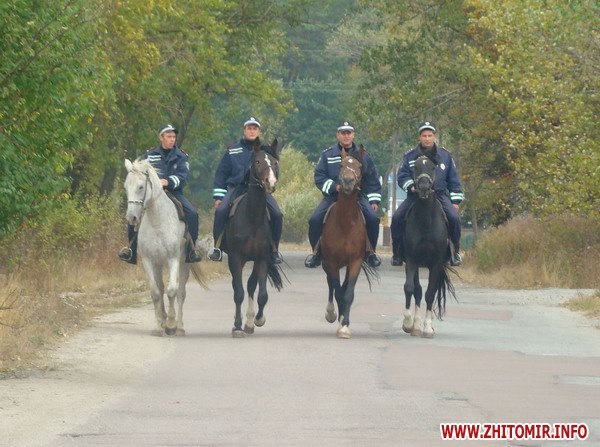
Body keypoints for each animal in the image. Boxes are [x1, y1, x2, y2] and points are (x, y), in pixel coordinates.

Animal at [123, 158, 206, 336]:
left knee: (181, 293)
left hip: (184, 264)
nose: (132, 217)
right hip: (158, 264)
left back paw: (179, 327)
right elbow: (155, 292)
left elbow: (172, 291)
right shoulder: (148, 261)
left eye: (141, 187)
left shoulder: (172, 259)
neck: (157, 221)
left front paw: (171, 325)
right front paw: (158, 325)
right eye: (126, 187)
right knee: (161, 289)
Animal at [223, 139, 283, 338]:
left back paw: (249, 322)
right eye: (257, 161)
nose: (270, 183)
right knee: (239, 288)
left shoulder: (262, 258)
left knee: (250, 285)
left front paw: (258, 319)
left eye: (275, 162)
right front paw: (237, 326)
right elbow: (238, 293)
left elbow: (262, 294)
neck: (252, 218)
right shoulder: (236, 258)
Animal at [320, 146, 377, 339]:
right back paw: (331, 313)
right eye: (341, 164)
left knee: (343, 286)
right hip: (327, 264)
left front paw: (345, 325)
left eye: (359, 166)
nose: (347, 181)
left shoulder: (356, 261)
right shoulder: (331, 261)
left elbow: (348, 293)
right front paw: (339, 320)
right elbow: (337, 291)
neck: (345, 223)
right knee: (331, 285)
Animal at [402, 155, 456, 338]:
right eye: (415, 167)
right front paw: (409, 324)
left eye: (433, 167)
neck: (425, 221)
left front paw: (427, 328)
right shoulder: (411, 259)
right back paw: (416, 326)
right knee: (417, 291)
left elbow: (430, 293)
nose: (424, 187)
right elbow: (410, 288)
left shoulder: (436, 263)